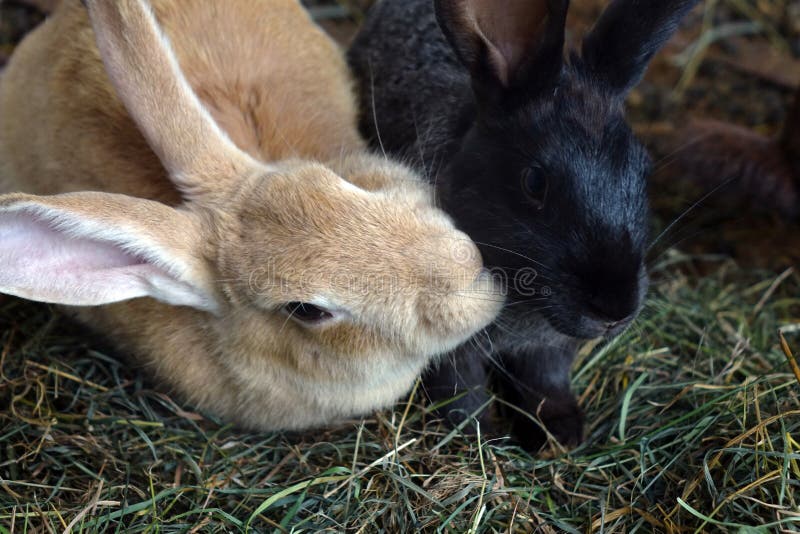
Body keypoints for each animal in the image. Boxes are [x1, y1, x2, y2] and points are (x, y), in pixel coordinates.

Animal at [348, 0, 700, 449]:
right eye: (534, 182)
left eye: (643, 170)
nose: (614, 311)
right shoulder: (449, 350)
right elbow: (461, 389)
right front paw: (478, 435)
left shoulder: (549, 350)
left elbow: (544, 382)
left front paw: (560, 436)